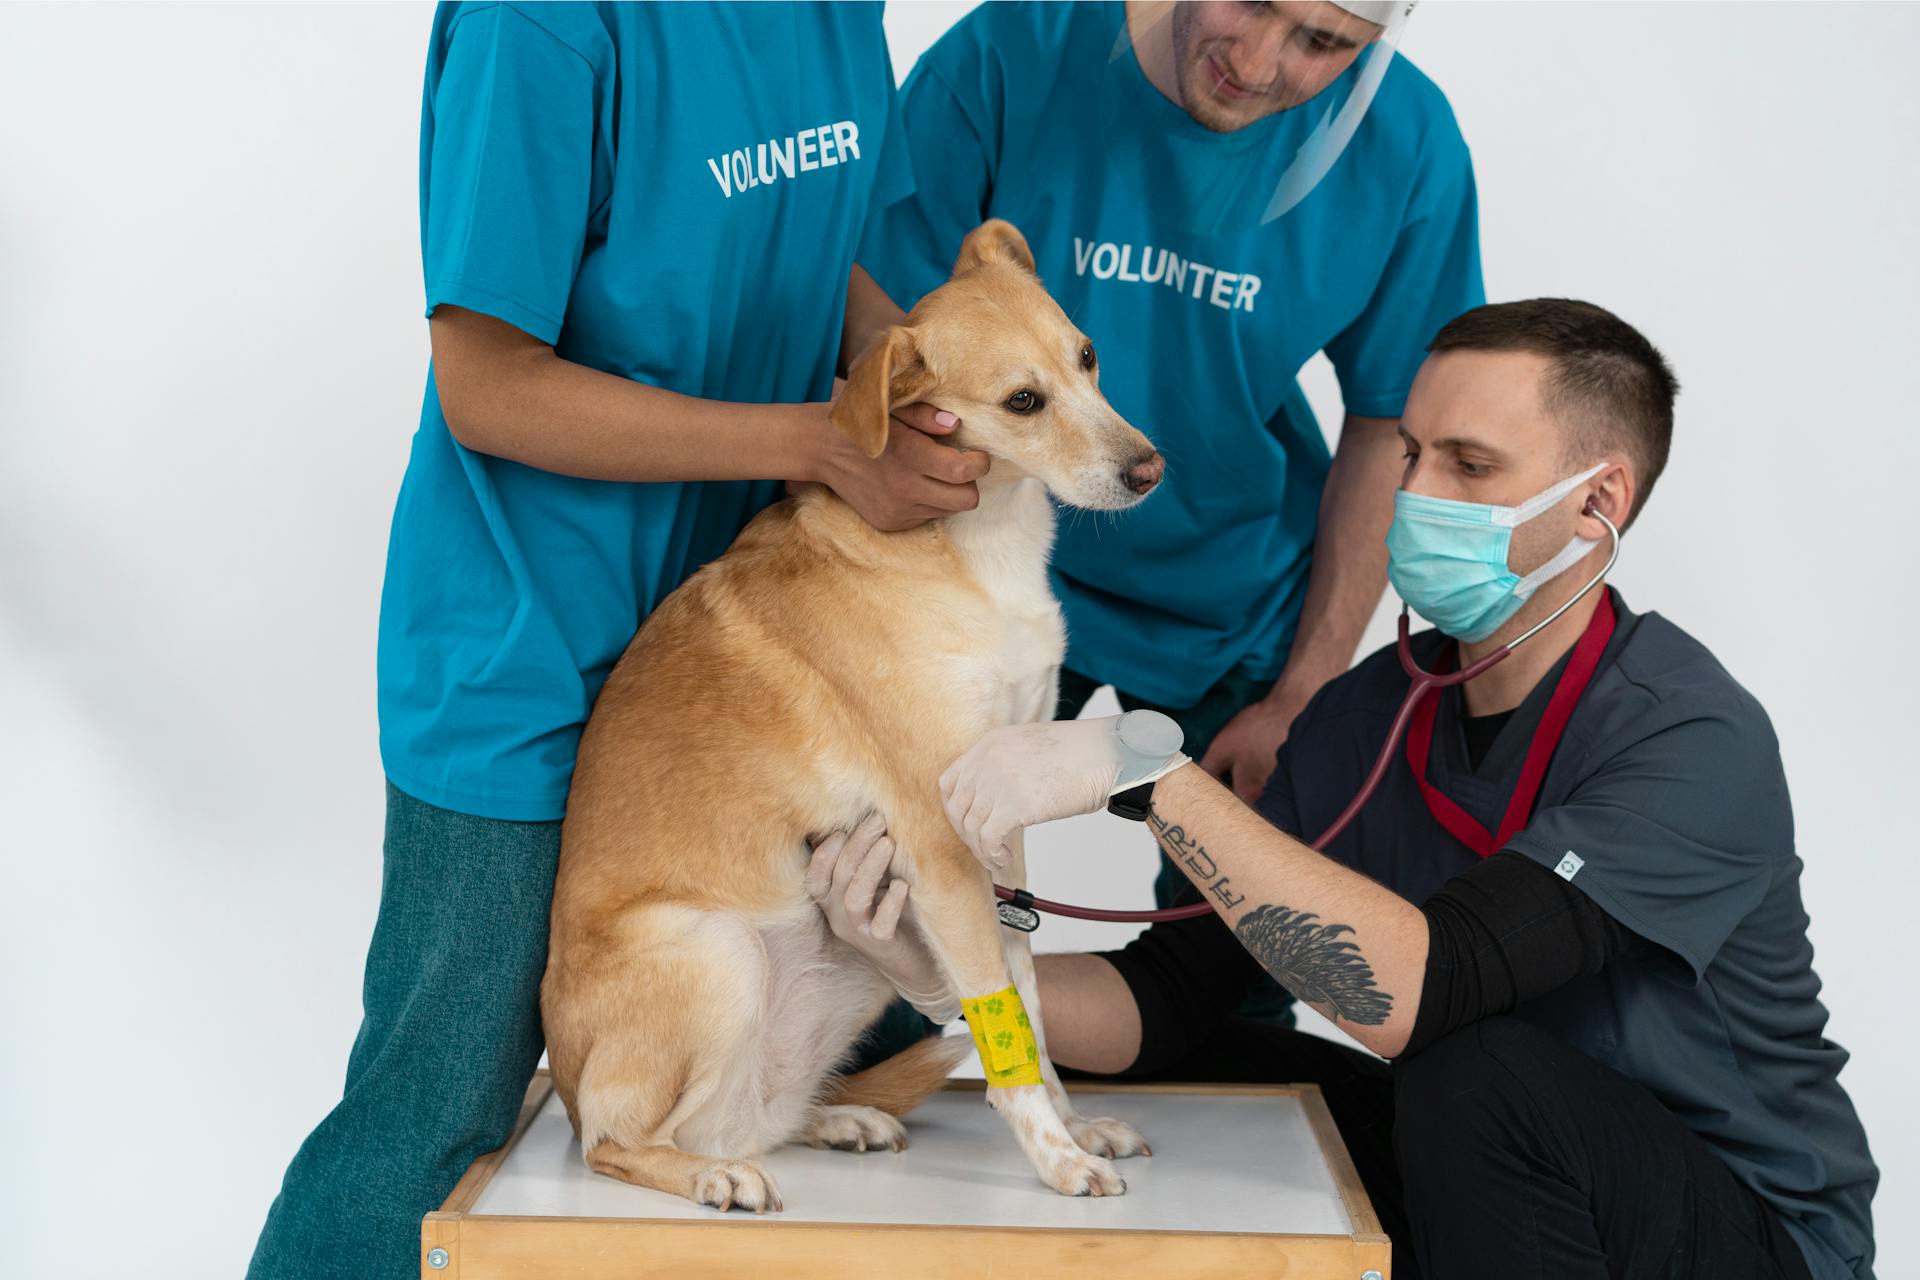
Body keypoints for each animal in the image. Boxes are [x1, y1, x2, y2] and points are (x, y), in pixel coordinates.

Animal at [549, 217, 1159, 1212]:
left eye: (1089, 356)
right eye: (1023, 401)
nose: (1149, 469)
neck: (978, 550)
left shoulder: (1002, 830)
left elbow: (1028, 1004)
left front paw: (1075, 1129)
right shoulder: (940, 841)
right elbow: (1003, 1027)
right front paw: (1056, 1158)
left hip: (852, 959)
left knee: (747, 1115)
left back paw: (833, 1119)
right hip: (717, 951)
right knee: (619, 1143)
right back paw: (714, 1175)